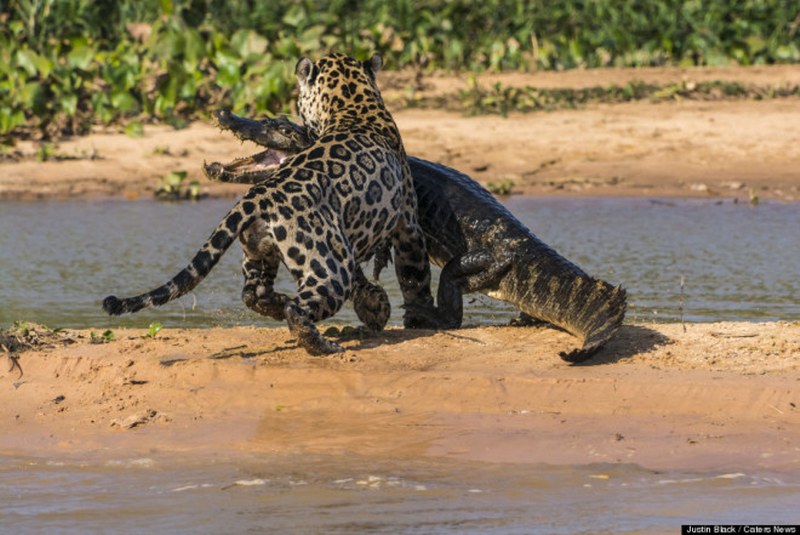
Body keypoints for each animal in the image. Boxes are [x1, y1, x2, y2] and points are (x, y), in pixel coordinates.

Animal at [102, 52, 435, 355]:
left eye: (276, 123)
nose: (224, 114)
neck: (352, 102)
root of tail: (259, 195)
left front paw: (377, 307)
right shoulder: (408, 224)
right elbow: (414, 276)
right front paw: (421, 318)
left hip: (260, 252)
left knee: (254, 293)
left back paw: (281, 305)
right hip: (328, 267)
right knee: (298, 308)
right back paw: (323, 345)